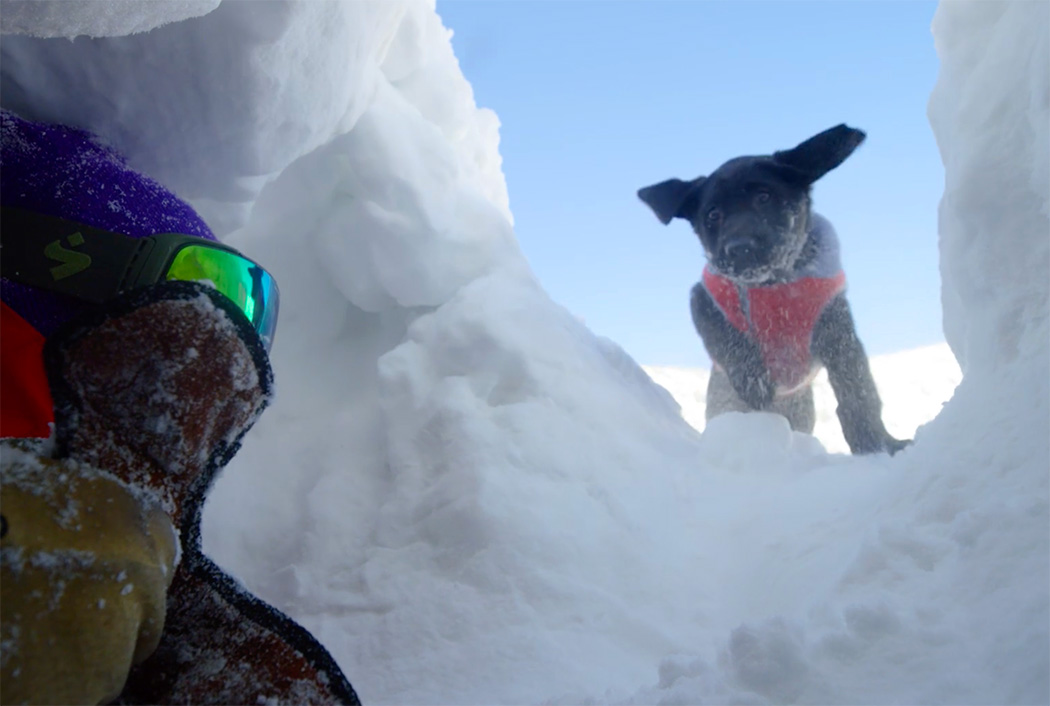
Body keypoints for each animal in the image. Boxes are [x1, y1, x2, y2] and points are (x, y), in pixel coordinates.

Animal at [638, 124, 908, 455]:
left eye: (764, 197)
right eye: (713, 215)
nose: (739, 248)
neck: (775, 286)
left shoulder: (837, 329)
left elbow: (858, 392)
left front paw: (877, 444)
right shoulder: (704, 296)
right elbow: (725, 337)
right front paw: (753, 380)